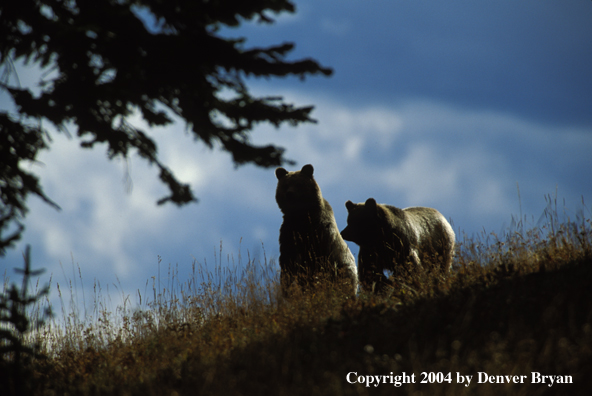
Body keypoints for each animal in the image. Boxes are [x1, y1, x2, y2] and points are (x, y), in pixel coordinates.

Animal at [276, 162, 358, 296]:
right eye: (285, 185)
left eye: (298, 184)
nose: (289, 193)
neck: (301, 216)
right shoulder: (289, 231)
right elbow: (287, 262)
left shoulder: (320, 233)